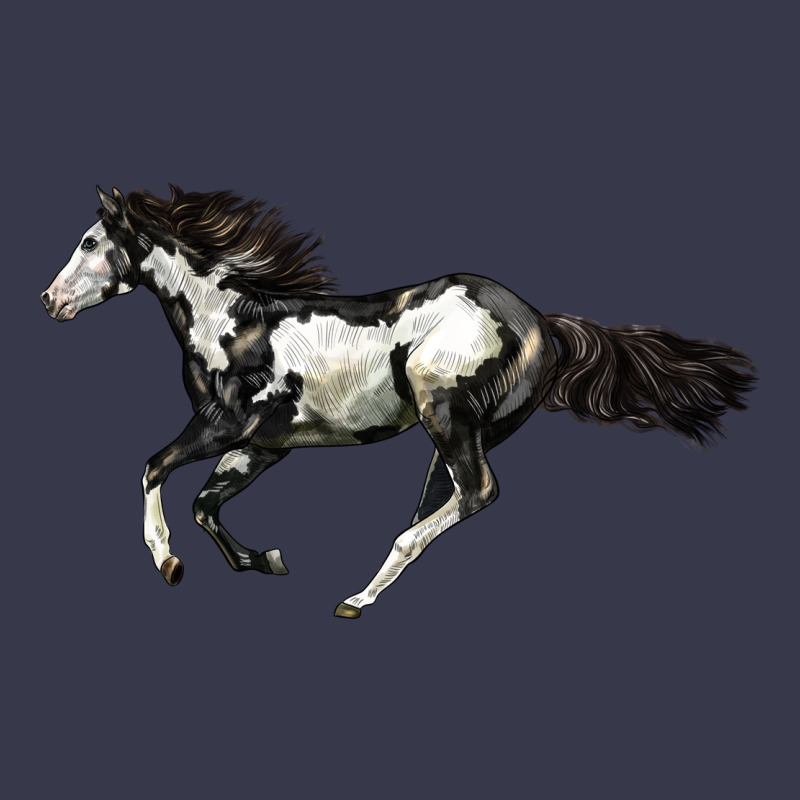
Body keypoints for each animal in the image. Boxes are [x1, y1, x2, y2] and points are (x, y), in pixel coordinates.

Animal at [41, 186, 757, 618]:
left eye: (88, 242)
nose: (49, 300)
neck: (232, 321)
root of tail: (540, 322)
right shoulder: (264, 446)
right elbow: (204, 505)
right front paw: (266, 559)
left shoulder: (226, 425)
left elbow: (153, 469)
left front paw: (167, 563)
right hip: (461, 433)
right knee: (445, 502)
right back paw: (363, 591)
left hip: (444, 412)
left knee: (474, 494)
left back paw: (356, 599)